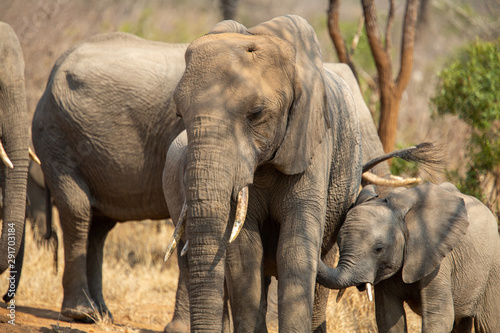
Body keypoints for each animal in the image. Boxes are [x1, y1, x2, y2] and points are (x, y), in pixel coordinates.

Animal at [316, 182, 500, 332]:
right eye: (339, 244)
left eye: (378, 249)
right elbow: (387, 317)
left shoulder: (438, 258)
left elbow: (440, 318)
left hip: (493, 269)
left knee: (488, 324)